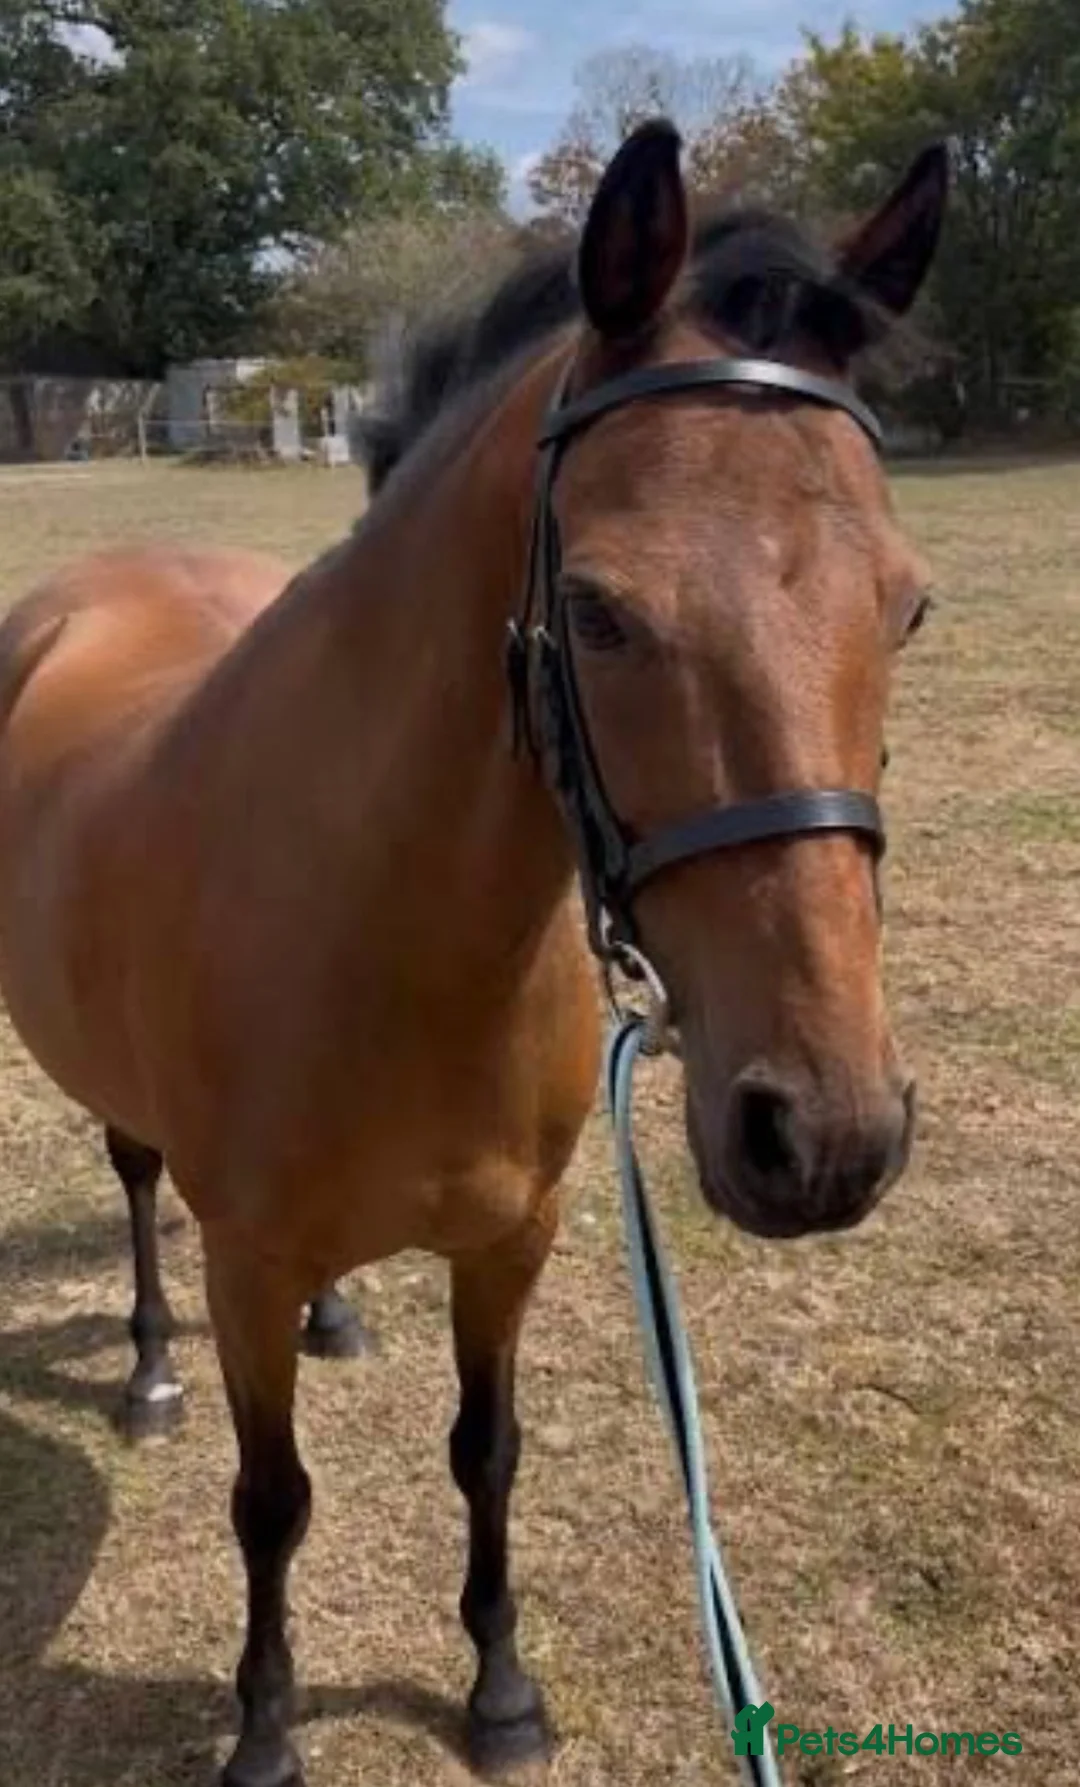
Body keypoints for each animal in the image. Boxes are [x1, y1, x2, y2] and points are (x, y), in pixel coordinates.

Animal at [0, 121, 946, 1784]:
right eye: (601, 610)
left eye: (907, 606)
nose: (825, 1133)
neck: (394, 935)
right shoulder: (243, 1257)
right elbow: (272, 1500)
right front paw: (264, 1724)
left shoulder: (516, 1237)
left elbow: (485, 1451)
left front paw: (501, 1689)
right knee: (130, 1175)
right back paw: (150, 1365)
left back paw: (336, 1314)